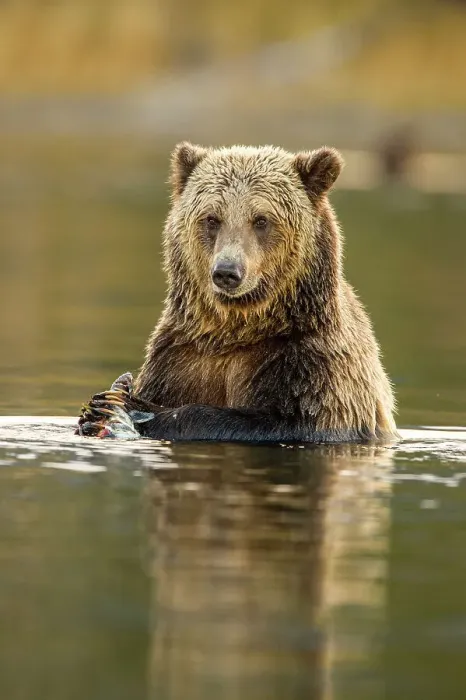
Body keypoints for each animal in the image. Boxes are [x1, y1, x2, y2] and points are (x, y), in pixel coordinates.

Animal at [77, 142, 398, 443]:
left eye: (261, 219)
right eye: (211, 218)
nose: (227, 272)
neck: (235, 331)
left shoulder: (313, 366)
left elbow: (287, 421)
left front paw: (132, 406)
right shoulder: (178, 359)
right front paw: (98, 408)